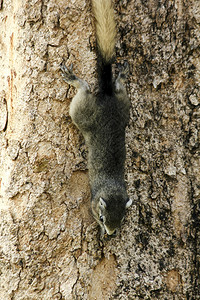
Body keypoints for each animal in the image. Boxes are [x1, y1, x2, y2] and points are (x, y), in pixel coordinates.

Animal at [61, 0, 133, 239]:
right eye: (102, 218)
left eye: (122, 219)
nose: (110, 233)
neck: (111, 187)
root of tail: (107, 95)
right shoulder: (92, 202)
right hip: (81, 111)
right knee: (84, 89)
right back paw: (75, 79)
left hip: (124, 105)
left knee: (117, 87)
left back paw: (121, 76)